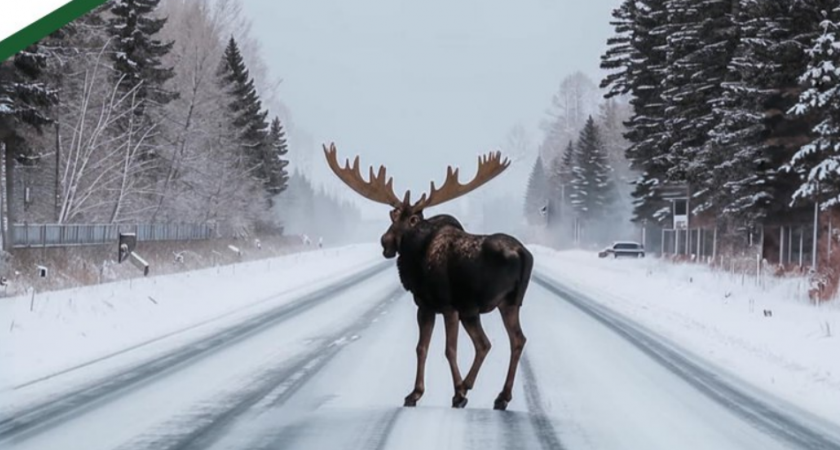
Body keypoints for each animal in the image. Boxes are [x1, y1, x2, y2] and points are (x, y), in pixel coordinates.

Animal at [324, 142, 532, 410]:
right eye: (394, 215)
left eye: (413, 218)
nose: (385, 242)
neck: (415, 257)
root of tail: (523, 254)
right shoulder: (427, 306)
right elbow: (422, 347)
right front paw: (415, 393)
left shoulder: (445, 305)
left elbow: (449, 349)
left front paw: (457, 394)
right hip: (506, 304)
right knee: (510, 341)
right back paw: (500, 396)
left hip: (478, 307)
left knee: (488, 343)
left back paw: (470, 389)